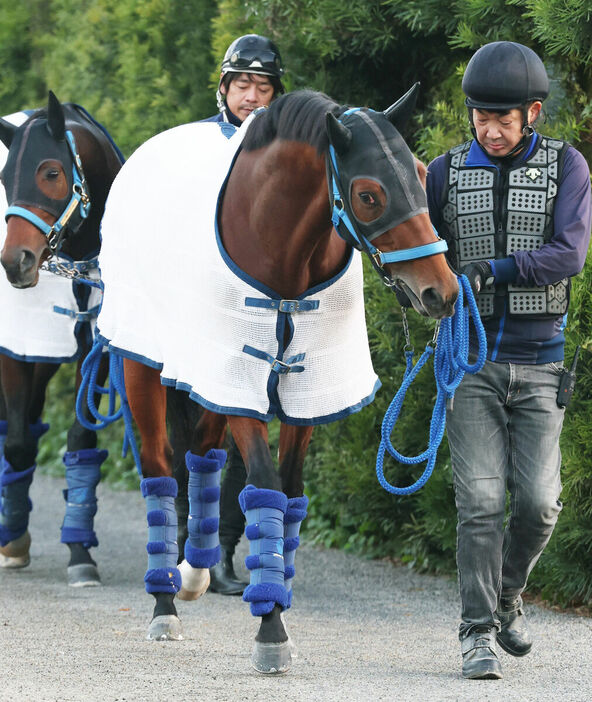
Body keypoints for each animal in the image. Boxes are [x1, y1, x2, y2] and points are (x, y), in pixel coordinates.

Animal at [88, 85, 458, 672]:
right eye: (369, 195)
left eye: (422, 175)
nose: (439, 292)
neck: (276, 238)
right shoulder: (242, 381)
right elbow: (264, 485)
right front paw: (270, 630)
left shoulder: (306, 390)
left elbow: (291, 490)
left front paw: (274, 593)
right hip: (144, 368)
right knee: (160, 469)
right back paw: (166, 601)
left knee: (202, 456)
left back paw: (196, 571)